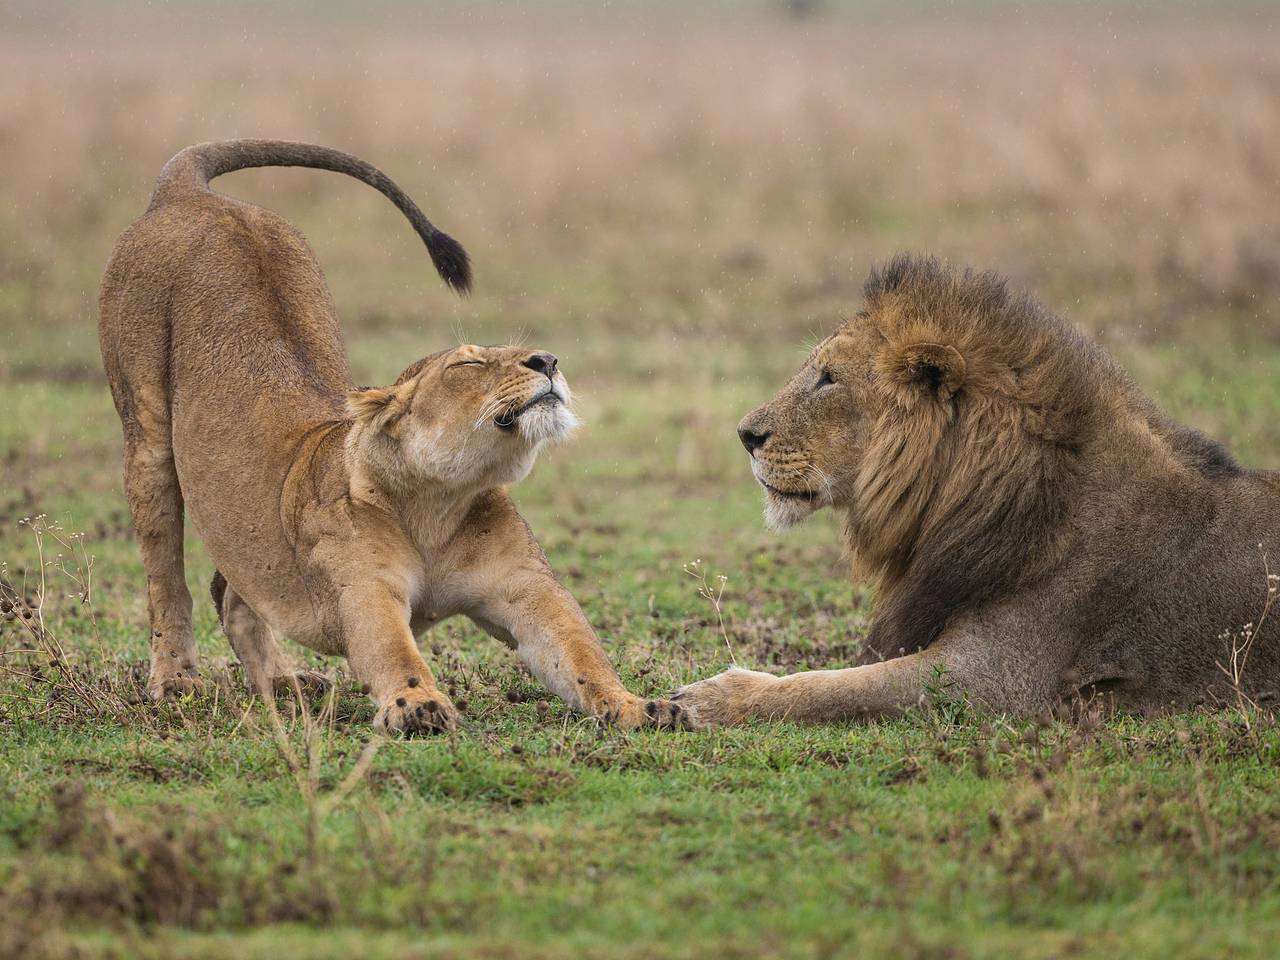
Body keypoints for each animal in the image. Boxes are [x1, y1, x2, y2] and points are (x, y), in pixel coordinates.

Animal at [101, 138, 686, 732]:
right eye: (468, 364)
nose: (547, 360)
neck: (439, 504)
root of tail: (190, 194)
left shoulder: (527, 590)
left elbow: (581, 654)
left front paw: (638, 705)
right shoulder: (364, 590)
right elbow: (392, 650)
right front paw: (418, 703)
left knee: (232, 590)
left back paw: (283, 683)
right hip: (146, 436)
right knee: (166, 578)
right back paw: (176, 682)